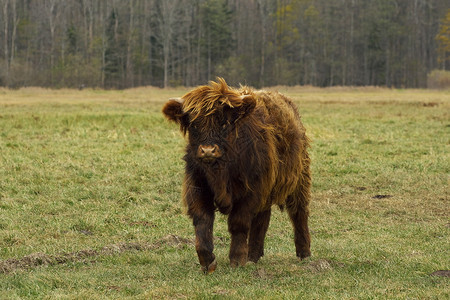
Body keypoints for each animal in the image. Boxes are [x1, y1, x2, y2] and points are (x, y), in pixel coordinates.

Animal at [163, 78, 312, 274]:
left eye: (224, 124)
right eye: (194, 125)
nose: (208, 150)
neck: (220, 171)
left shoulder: (250, 191)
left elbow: (239, 224)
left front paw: (237, 259)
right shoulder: (197, 187)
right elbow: (203, 222)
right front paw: (208, 262)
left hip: (299, 178)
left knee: (298, 213)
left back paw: (304, 253)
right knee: (262, 219)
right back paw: (254, 255)